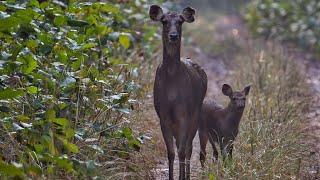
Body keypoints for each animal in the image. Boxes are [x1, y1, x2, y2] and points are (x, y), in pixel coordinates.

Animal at [150, 4, 208, 179]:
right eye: (164, 21)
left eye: (180, 21)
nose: (173, 35)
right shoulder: (163, 116)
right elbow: (170, 152)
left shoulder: (185, 114)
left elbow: (182, 150)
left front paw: (182, 176)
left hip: (196, 112)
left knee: (188, 148)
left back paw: (187, 175)